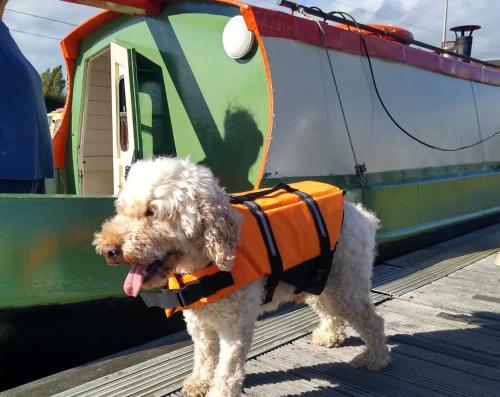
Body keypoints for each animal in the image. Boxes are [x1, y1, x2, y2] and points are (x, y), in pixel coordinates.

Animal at [94, 157, 390, 396]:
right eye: (121, 209)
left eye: (152, 212)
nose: (109, 249)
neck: (203, 261)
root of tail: (360, 213)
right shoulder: (199, 324)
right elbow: (204, 357)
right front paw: (199, 383)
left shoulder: (234, 328)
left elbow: (227, 370)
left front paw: (218, 391)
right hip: (318, 281)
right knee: (329, 311)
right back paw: (330, 336)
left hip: (346, 286)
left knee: (373, 321)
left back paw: (374, 359)